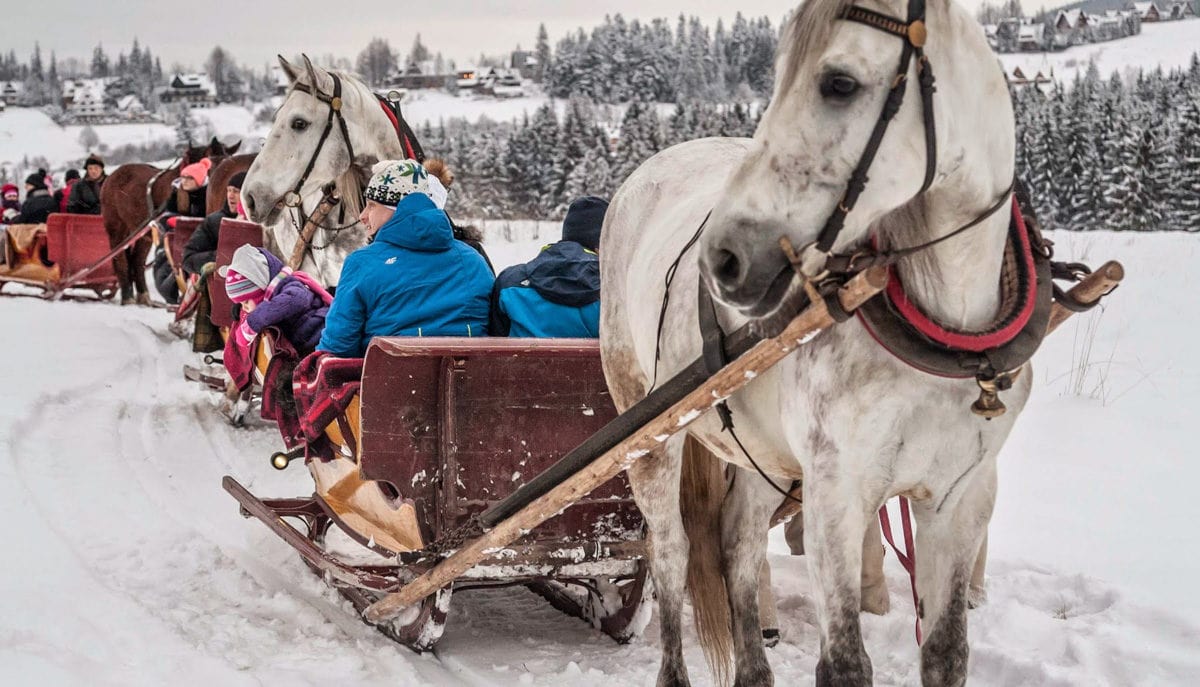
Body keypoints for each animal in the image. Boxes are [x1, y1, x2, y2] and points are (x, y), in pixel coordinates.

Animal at [102, 136, 240, 302]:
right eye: (213, 164)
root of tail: (111, 177)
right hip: (117, 229)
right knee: (120, 258)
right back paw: (127, 296)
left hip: (144, 235)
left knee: (137, 261)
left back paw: (144, 296)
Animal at [600, 0, 1022, 682]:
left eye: (839, 83)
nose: (723, 260)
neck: (944, 332)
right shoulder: (836, 493)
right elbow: (845, 661)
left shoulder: (960, 498)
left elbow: (947, 653)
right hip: (647, 432)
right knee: (670, 553)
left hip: (759, 454)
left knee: (739, 546)